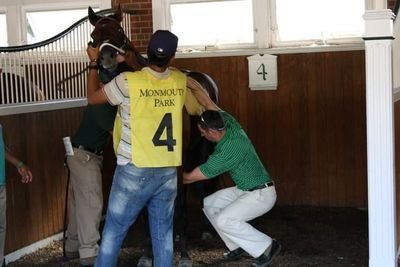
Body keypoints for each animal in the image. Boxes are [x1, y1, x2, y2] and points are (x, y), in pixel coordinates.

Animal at [88, 4, 220, 267]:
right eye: (94, 36)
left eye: (119, 30)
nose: (106, 60)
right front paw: (147, 254)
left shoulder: (176, 161)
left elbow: (179, 203)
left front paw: (185, 255)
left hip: (199, 151)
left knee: (201, 187)